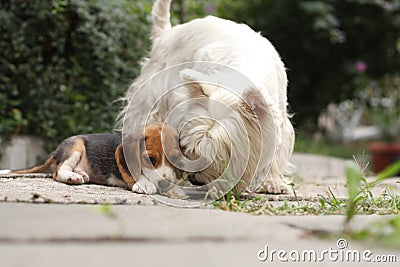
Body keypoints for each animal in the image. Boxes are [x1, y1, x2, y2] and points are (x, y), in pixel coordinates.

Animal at [4, 123, 180, 195]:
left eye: (175, 159)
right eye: (150, 159)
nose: (165, 184)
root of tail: (56, 150)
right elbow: (137, 173)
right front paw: (145, 184)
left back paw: (81, 174)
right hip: (76, 145)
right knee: (58, 171)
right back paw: (72, 176)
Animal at [115, 0, 294, 194]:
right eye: (190, 146)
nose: (194, 180)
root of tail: (166, 34)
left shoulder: (278, 119)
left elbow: (276, 149)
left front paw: (272, 182)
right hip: (151, 97)